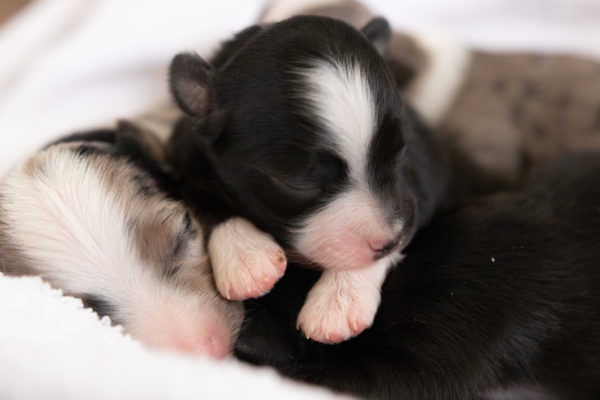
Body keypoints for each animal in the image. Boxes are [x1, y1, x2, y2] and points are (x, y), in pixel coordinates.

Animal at [164, 14, 454, 344]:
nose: (388, 239)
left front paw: (340, 298)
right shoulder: (184, 156)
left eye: (400, 153)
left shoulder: (420, 182)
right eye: (298, 184)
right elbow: (204, 198)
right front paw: (245, 255)